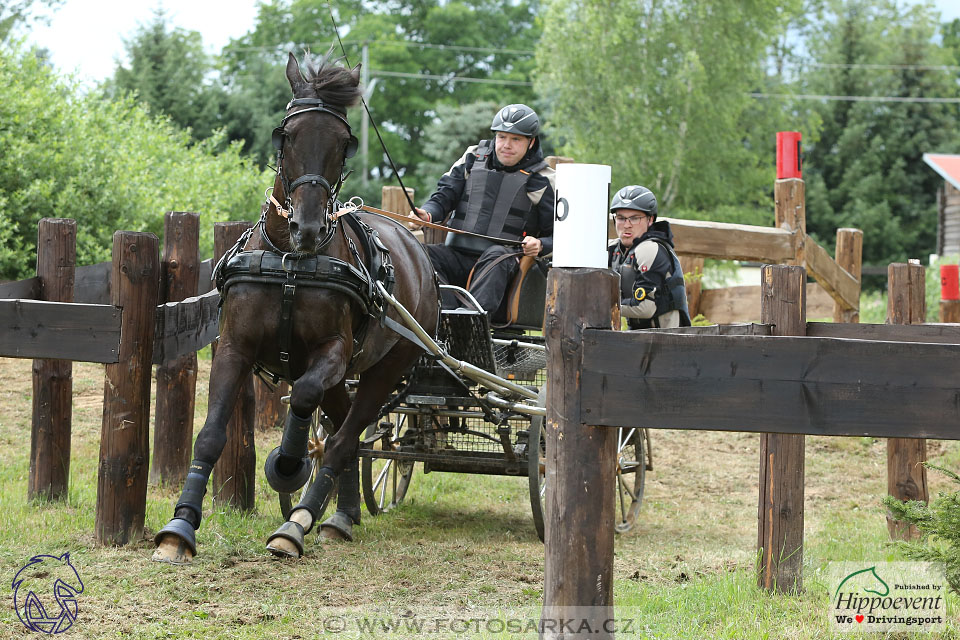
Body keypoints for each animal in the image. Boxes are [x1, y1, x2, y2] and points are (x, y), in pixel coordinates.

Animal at [154, 52, 438, 564]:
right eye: (285, 136)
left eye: (345, 144)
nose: (307, 226)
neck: (291, 262)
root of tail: (417, 247)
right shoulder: (235, 347)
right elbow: (211, 432)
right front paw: (180, 526)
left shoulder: (332, 354)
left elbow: (304, 396)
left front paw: (287, 464)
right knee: (344, 429)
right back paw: (341, 515)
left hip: (387, 368)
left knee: (344, 438)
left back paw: (299, 522)